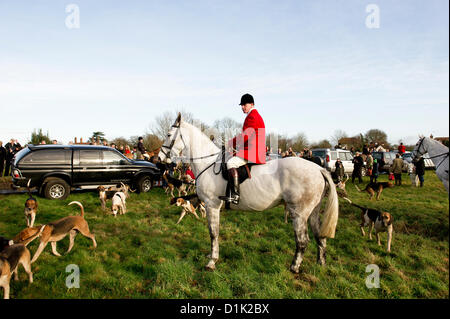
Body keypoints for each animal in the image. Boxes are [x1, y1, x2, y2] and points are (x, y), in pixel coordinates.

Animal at [158, 114, 338, 274]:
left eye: (168, 135)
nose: (160, 158)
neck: (207, 163)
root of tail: (319, 169)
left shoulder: (212, 205)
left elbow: (213, 233)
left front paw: (212, 261)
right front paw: (211, 256)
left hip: (299, 213)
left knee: (302, 241)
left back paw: (294, 267)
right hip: (313, 211)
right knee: (320, 237)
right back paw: (320, 264)